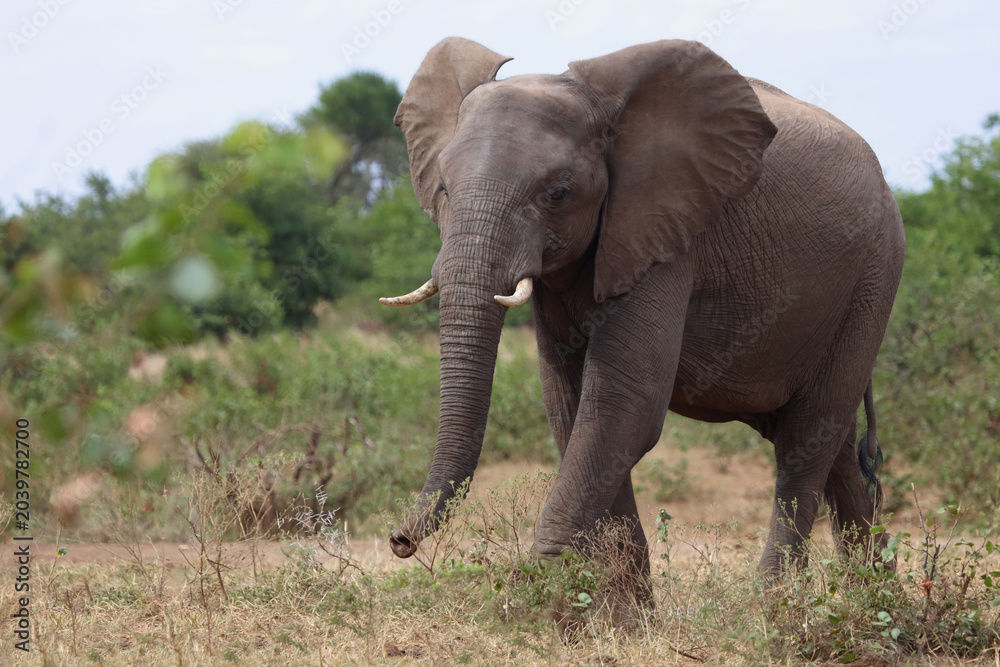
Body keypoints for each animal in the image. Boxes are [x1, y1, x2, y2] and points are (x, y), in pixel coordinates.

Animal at [381, 37, 905, 583]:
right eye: (443, 188)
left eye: (558, 194)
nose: (399, 540)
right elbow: (570, 407)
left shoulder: (664, 233)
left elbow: (622, 405)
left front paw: (549, 582)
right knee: (836, 448)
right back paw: (870, 596)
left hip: (873, 279)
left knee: (806, 443)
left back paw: (777, 598)